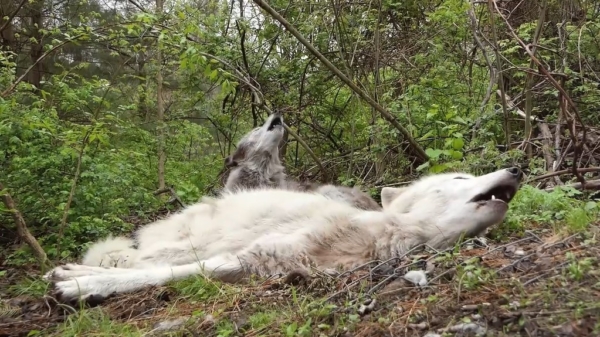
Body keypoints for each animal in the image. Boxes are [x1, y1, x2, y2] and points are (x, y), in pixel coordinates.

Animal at [45, 167, 520, 300]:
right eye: (460, 176)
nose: (516, 169)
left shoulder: (261, 264)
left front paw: (81, 283)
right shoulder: (247, 255)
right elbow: (160, 276)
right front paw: (79, 285)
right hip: (186, 240)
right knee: (142, 259)